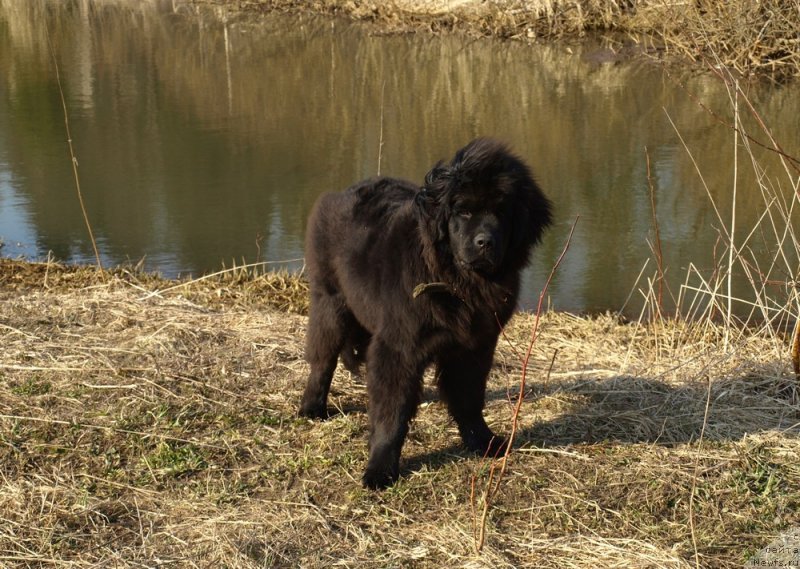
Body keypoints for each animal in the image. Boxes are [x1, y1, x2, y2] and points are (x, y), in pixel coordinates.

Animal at [296, 139, 552, 488]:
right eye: (463, 211)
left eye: (501, 212)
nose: (485, 242)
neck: (457, 282)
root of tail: (341, 192)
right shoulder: (399, 346)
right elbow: (391, 412)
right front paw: (380, 468)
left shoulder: (474, 346)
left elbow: (469, 398)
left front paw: (483, 441)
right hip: (330, 303)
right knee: (322, 359)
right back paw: (312, 407)